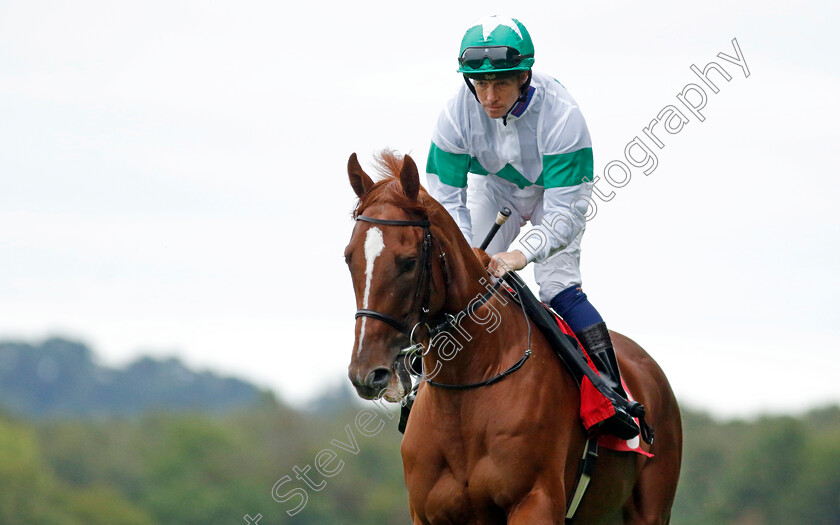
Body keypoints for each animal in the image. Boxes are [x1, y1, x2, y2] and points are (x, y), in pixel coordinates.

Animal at [344, 149, 680, 520]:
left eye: (408, 261)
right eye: (348, 258)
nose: (367, 373)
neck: (465, 391)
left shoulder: (536, 501)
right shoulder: (426, 513)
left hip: (651, 509)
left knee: (564, 288)